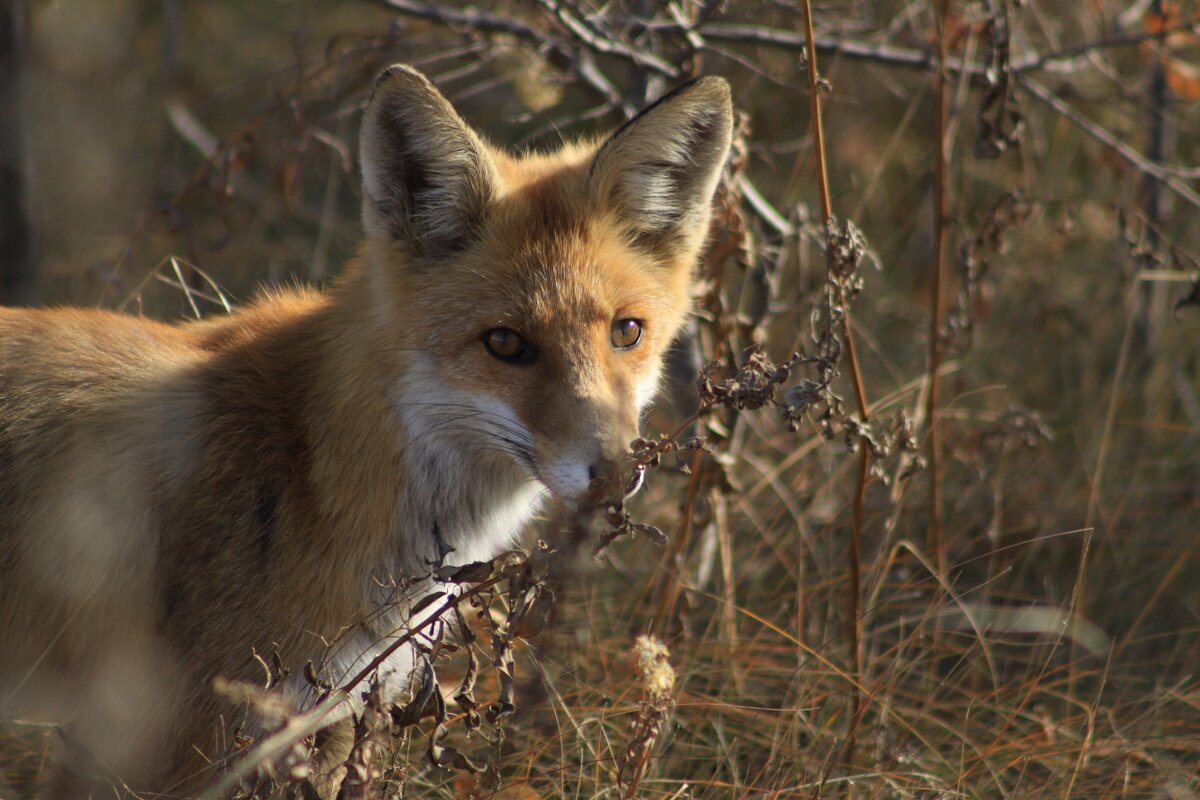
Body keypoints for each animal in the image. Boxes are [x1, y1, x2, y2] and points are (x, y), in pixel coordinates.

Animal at [0, 64, 729, 796]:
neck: (312, 467)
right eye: (505, 343)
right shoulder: (161, 743)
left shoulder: (331, 714)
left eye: (627, 332)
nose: (615, 472)